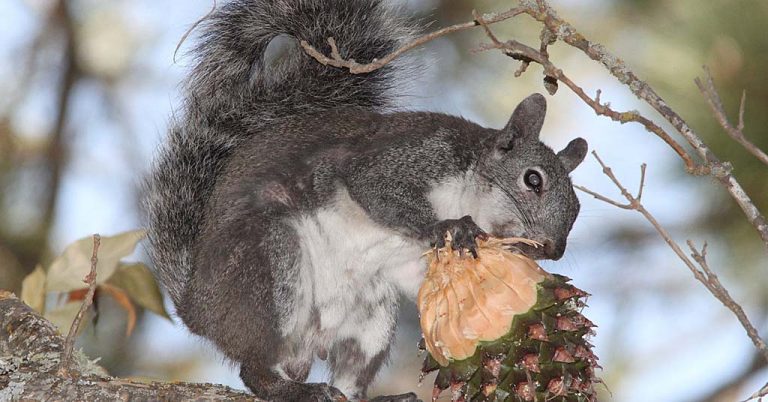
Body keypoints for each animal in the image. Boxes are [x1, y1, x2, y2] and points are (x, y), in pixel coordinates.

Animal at [143, 0, 588, 401]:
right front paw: (449, 226)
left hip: (370, 315)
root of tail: (197, 311)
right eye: (533, 180)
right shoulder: (411, 156)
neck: (469, 187)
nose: (553, 250)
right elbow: (374, 189)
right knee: (254, 366)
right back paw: (291, 389)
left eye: (578, 208)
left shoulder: (410, 264)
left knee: (350, 375)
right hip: (270, 263)